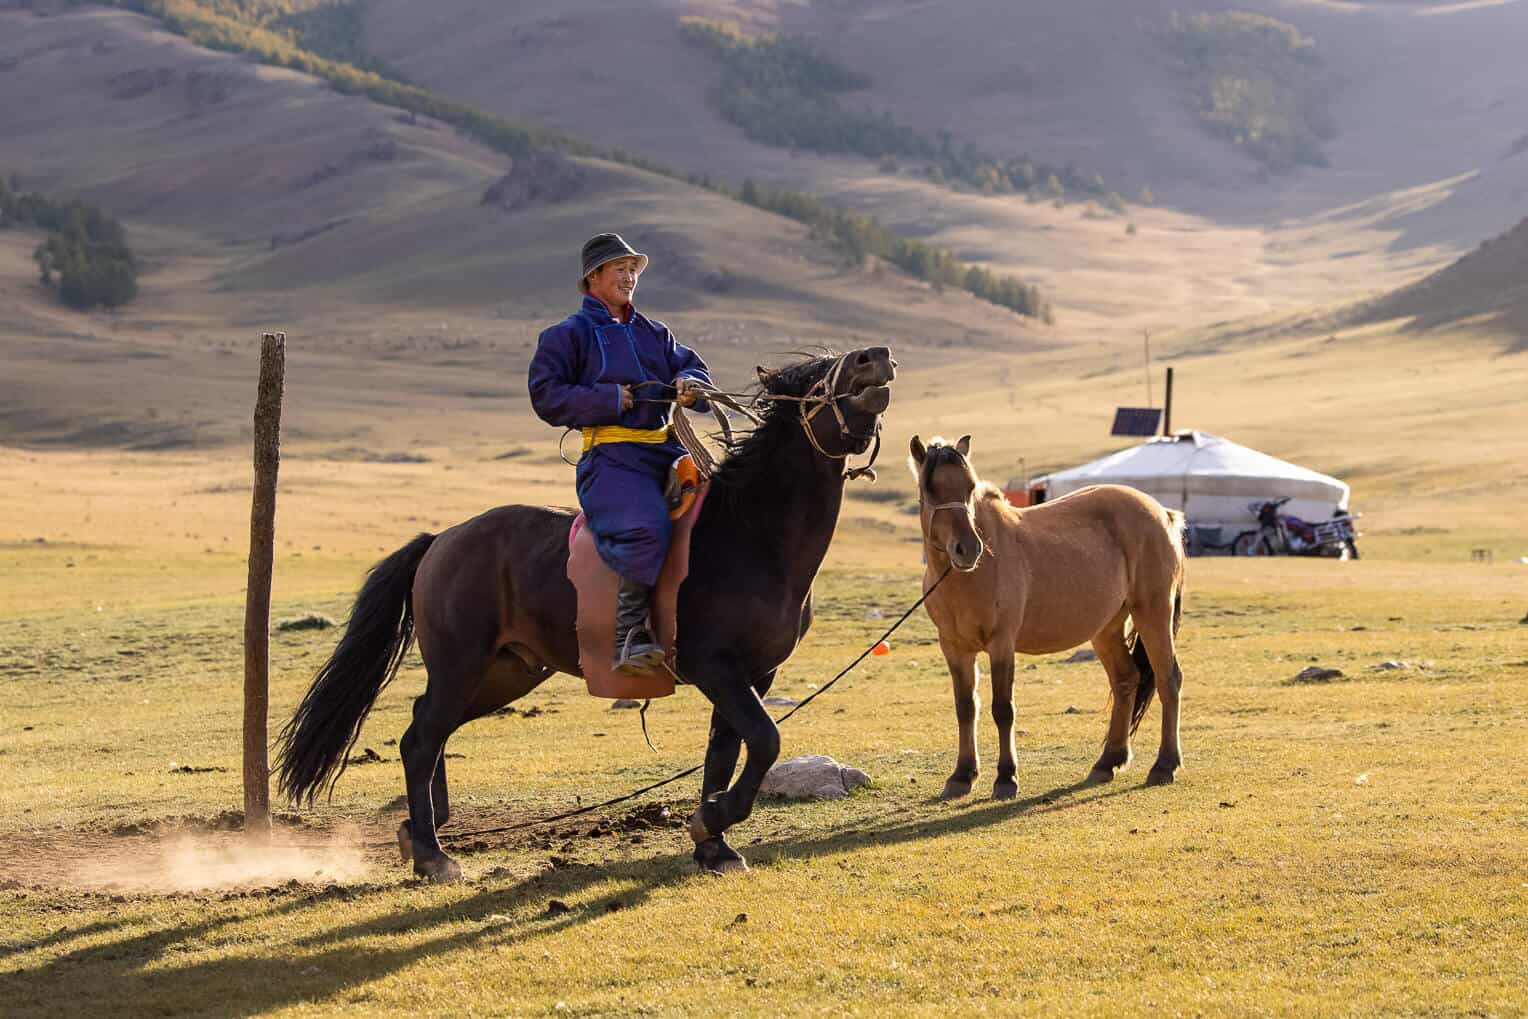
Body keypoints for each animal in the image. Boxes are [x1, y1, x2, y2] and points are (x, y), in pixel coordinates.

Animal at [278, 346, 892, 879]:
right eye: (814, 381)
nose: (876, 356)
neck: (750, 533)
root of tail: (441, 541)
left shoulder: (754, 674)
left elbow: (725, 750)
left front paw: (713, 845)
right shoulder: (714, 667)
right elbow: (764, 740)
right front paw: (712, 819)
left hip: (505, 673)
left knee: (427, 726)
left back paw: (420, 828)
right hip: (462, 665)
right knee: (420, 739)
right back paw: (433, 855)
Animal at [910, 433, 1185, 800]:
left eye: (969, 487)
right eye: (930, 490)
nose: (968, 549)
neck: (966, 577)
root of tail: (1163, 513)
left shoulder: (1002, 644)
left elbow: (1003, 709)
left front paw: (1006, 778)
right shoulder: (954, 648)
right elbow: (966, 707)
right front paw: (962, 775)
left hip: (1153, 614)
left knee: (1169, 679)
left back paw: (1164, 765)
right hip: (1107, 628)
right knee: (1126, 680)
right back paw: (1108, 762)